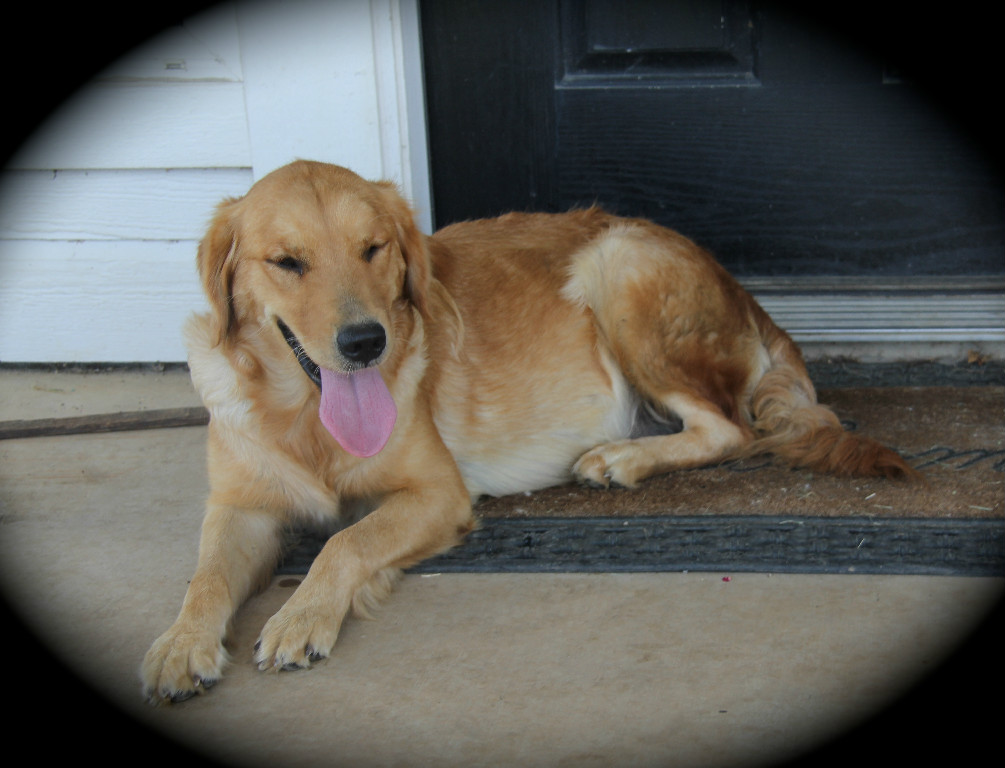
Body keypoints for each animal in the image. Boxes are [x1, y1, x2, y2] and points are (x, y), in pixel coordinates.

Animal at [141, 160, 920, 703]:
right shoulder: (240, 507)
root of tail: (741, 288)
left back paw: (622, 458)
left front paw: (300, 617)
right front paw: (181, 644)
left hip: (618, 267)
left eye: (373, 249)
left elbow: (344, 541)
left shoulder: (437, 494)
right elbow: (205, 575)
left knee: (726, 428)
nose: (365, 342)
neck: (302, 415)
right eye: (287, 262)